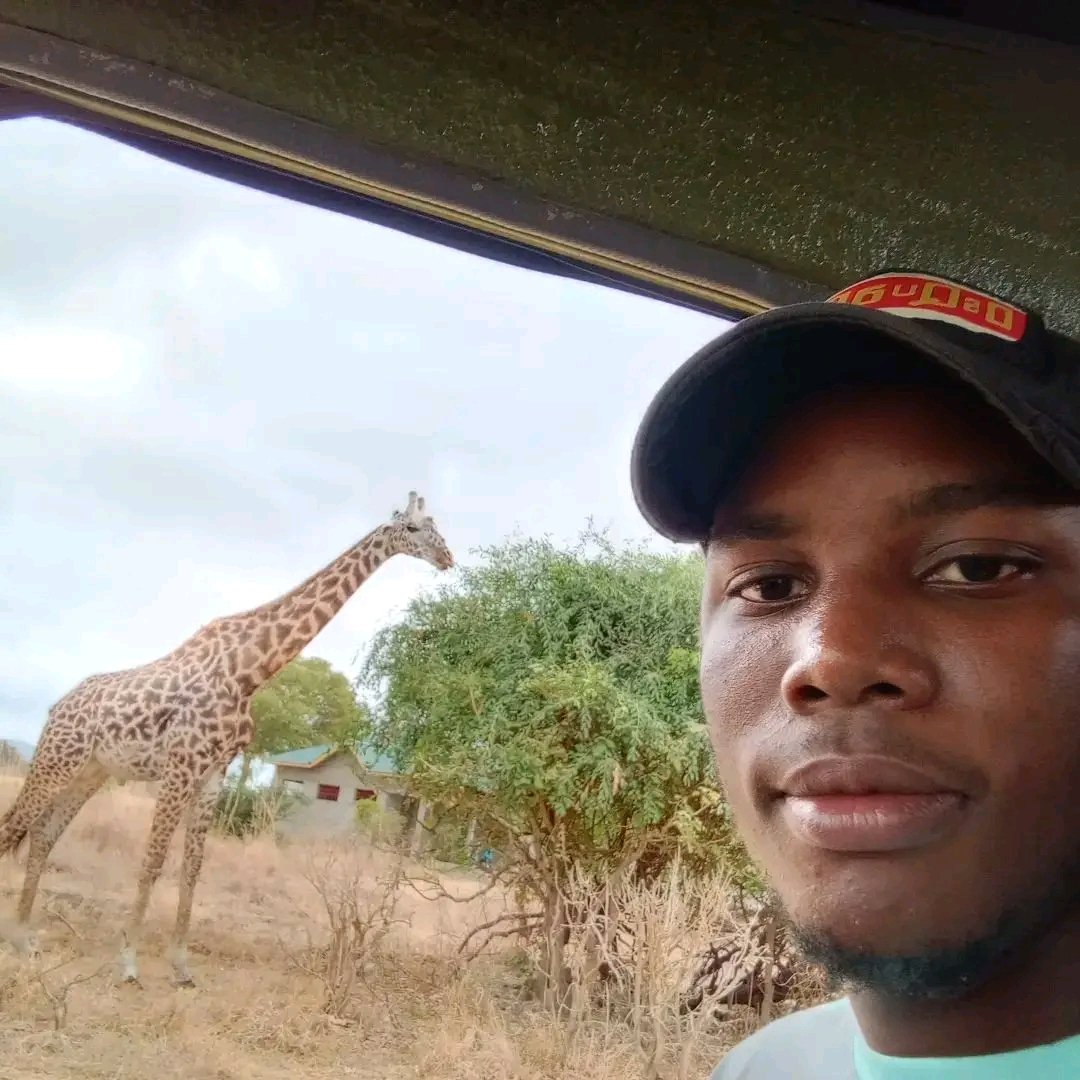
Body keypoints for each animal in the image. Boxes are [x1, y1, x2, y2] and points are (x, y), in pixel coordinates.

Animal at [0, 491, 453, 987]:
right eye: (412, 529)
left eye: (436, 525)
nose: (447, 557)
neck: (247, 672)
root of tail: (56, 707)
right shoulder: (180, 767)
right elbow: (153, 861)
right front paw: (129, 962)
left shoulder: (214, 771)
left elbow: (193, 867)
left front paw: (180, 966)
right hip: (57, 758)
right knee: (13, 824)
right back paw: (15, 934)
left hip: (91, 771)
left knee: (42, 834)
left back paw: (24, 937)